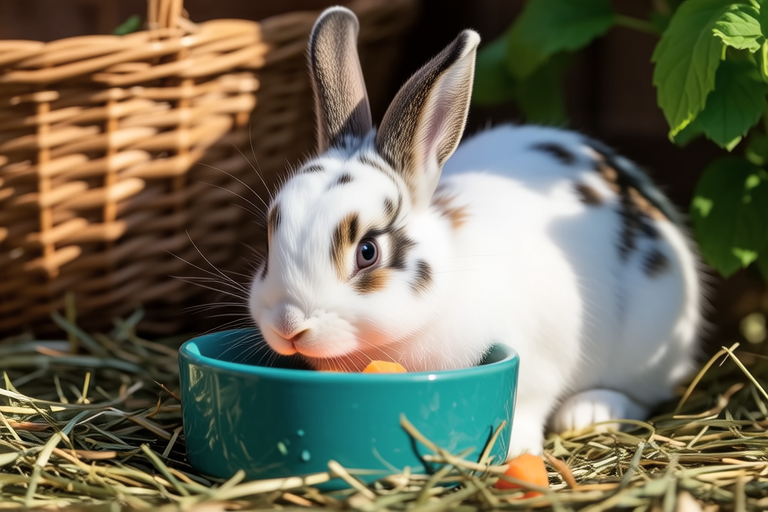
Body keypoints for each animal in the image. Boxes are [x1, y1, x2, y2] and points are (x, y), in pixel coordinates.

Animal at [247, 6, 702, 456]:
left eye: (368, 251)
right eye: (269, 243)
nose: (289, 326)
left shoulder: (540, 359)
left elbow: (528, 403)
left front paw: (518, 449)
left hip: (649, 342)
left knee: (644, 393)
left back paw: (589, 411)